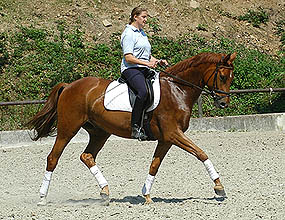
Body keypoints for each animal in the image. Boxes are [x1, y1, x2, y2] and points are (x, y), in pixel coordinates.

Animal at [27, 51, 235, 205]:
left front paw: (146, 195)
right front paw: (219, 187)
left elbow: (154, 165)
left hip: (100, 132)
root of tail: (69, 85)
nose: (223, 103)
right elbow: (201, 153)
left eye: (231, 78)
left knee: (87, 156)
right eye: (222, 76)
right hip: (68, 129)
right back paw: (42, 198)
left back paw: (105, 192)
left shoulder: (166, 139)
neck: (177, 90)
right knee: (53, 158)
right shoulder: (173, 134)